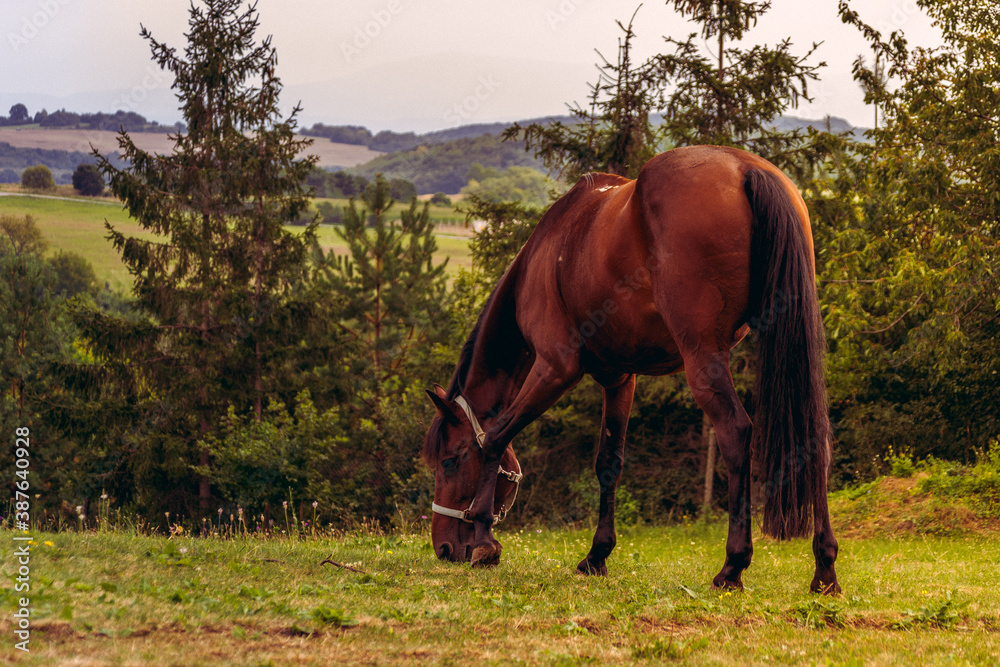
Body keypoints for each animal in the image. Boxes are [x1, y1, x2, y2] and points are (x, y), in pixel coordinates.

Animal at [422, 145, 839, 594]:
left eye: (450, 461)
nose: (443, 548)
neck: (547, 253)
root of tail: (745, 167)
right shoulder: (619, 378)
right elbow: (609, 461)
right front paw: (596, 555)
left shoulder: (555, 369)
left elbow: (496, 437)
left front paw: (485, 540)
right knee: (814, 434)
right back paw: (824, 568)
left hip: (703, 359)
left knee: (736, 431)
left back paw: (733, 566)